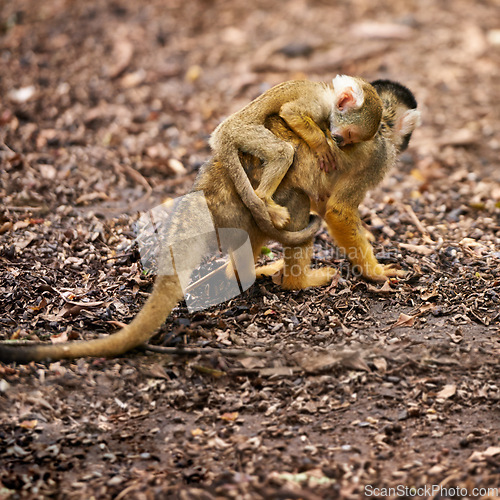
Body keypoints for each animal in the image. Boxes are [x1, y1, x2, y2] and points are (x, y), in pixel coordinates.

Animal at [210, 74, 382, 230]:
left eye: (351, 139)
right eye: (350, 134)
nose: (342, 142)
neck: (329, 95)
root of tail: (220, 134)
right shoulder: (318, 103)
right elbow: (290, 112)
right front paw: (322, 146)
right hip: (242, 132)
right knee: (283, 152)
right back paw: (264, 199)